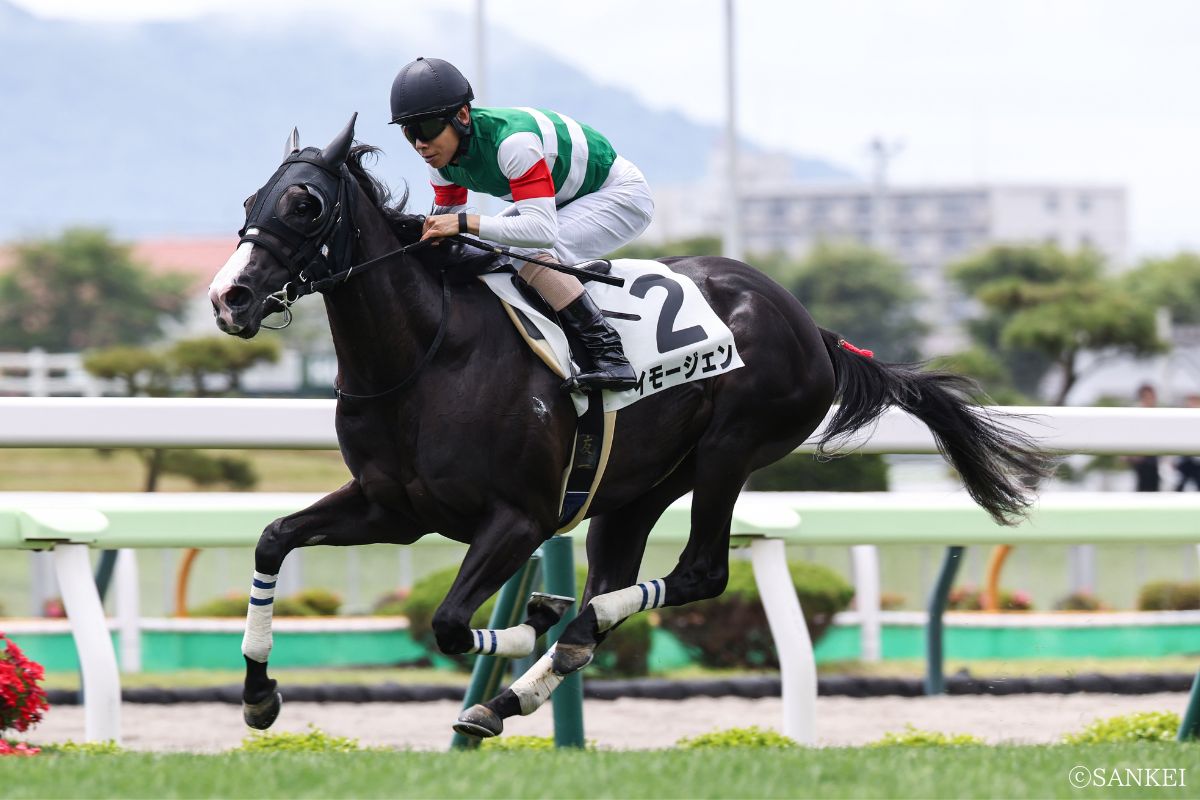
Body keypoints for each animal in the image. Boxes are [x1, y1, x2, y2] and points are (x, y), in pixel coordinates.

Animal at [209, 115, 1052, 737]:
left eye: (306, 204)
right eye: (250, 201)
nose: (229, 298)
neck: (427, 354)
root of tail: (813, 328)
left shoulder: (516, 518)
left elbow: (448, 623)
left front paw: (529, 621)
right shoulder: (393, 508)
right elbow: (273, 540)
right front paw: (257, 695)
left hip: (730, 450)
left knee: (697, 574)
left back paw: (561, 629)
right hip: (636, 490)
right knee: (618, 586)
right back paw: (513, 690)